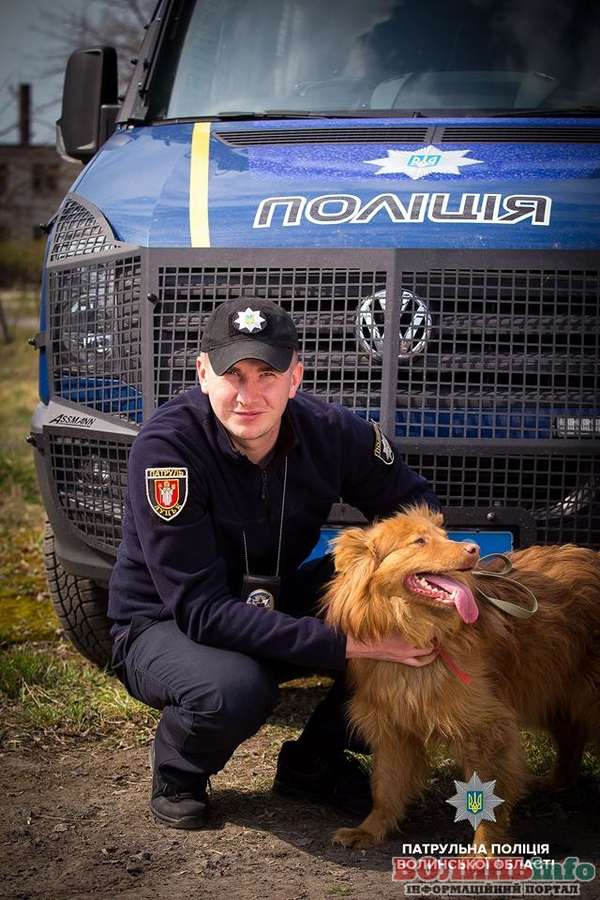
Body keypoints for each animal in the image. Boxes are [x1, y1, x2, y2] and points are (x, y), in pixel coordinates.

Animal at [322, 505, 600, 851]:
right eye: (419, 541)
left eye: (445, 535)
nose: (474, 548)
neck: (421, 627)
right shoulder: (390, 726)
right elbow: (385, 786)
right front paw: (370, 829)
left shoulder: (487, 729)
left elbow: (486, 798)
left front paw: (484, 850)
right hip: (555, 688)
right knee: (572, 736)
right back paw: (554, 782)